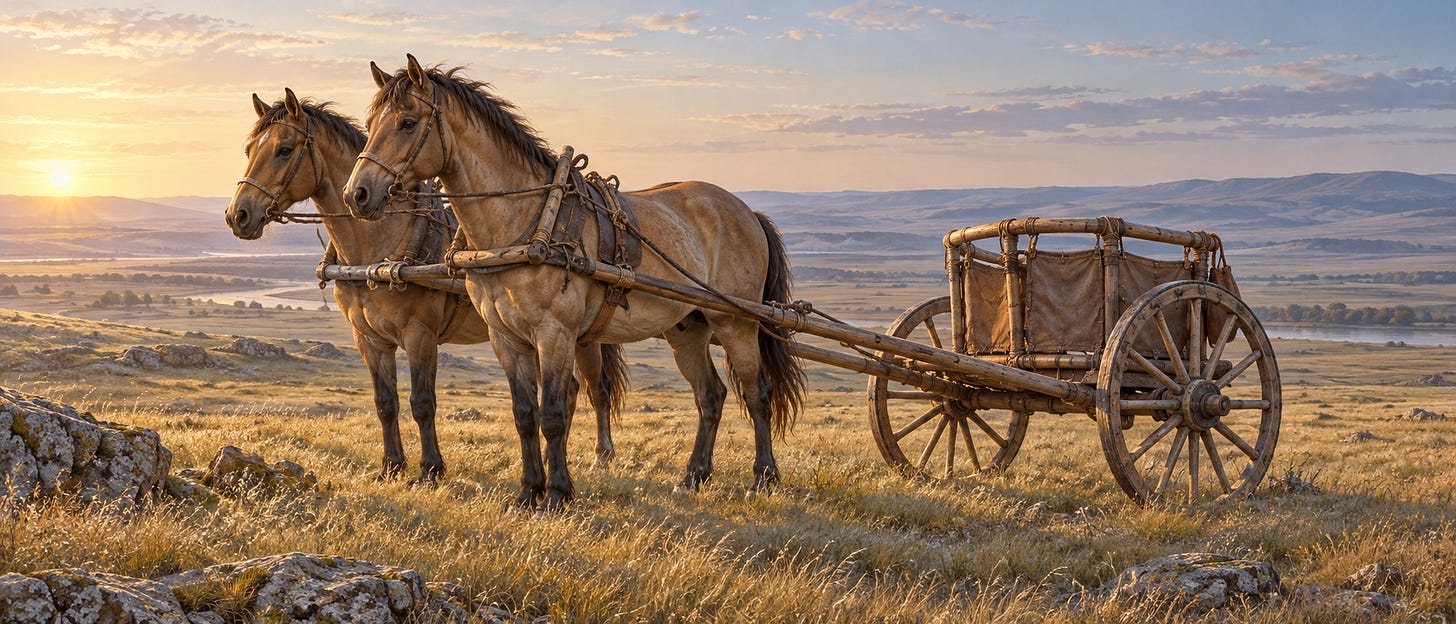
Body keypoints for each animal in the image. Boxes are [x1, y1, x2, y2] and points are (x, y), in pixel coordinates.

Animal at [225, 88, 628, 484]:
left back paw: (602, 455)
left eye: (283, 149)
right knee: (572, 390)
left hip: (580, 336)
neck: (378, 245)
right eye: (249, 150)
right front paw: (391, 466)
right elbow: (385, 403)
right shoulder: (368, 339)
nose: (237, 215)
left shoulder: (419, 333)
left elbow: (422, 402)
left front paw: (430, 469)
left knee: (597, 390)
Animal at [344, 55, 805, 509]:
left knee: (758, 393)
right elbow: (524, 414)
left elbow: (552, 413)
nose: (357, 194)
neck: (525, 219)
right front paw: (528, 491)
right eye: (370, 123)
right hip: (687, 328)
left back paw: (763, 478)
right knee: (710, 395)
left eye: (407, 122)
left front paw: (557, 494)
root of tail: (745, 212)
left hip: (736, 322)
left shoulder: (554, 333)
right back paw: (694, 477)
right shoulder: (505, 337)